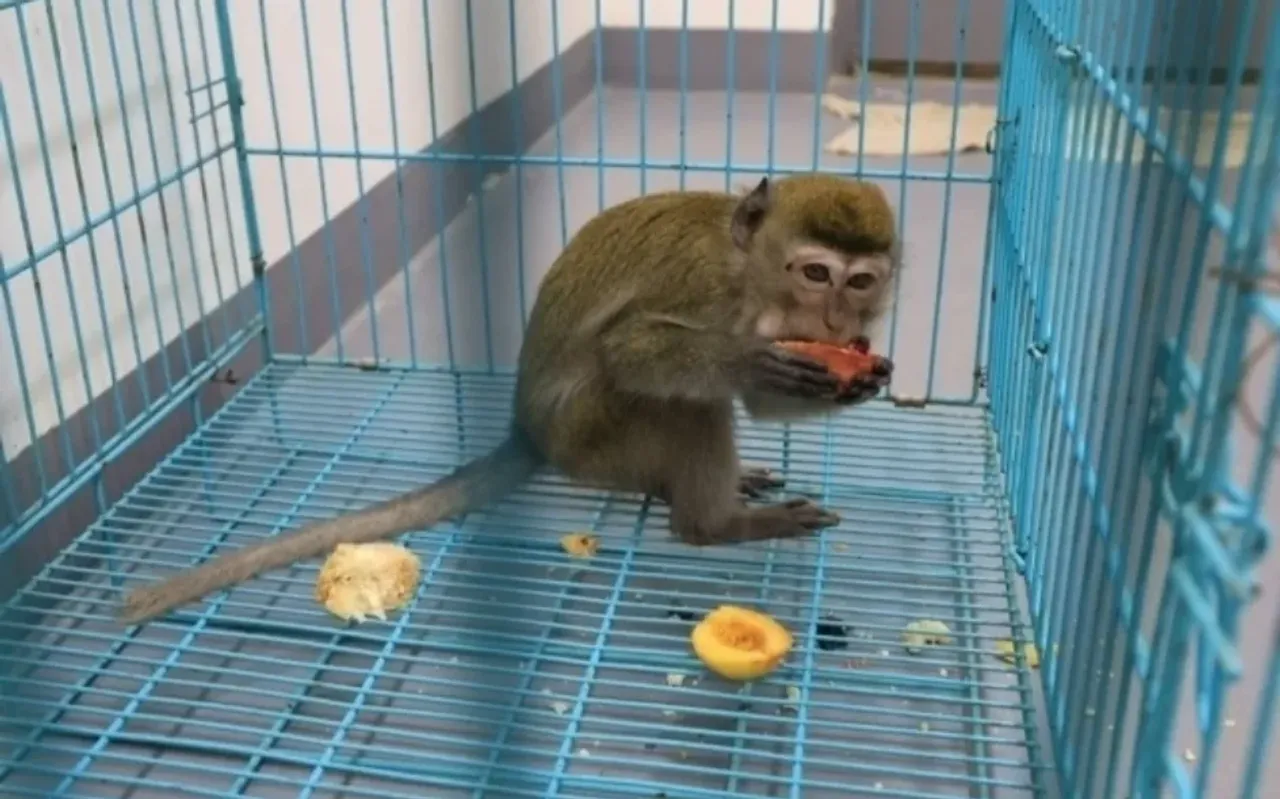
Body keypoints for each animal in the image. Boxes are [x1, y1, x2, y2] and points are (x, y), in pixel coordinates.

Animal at [117, 173, 900, 625]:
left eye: (861, 282)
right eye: (815, 272)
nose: (839, 323)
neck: (750, 276)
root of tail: (529, 433)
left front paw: (864, 375)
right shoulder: (706, 290)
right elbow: (632, 350)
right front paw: (747, 360)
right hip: (592, 437)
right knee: (683, 403)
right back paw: (714, 524)